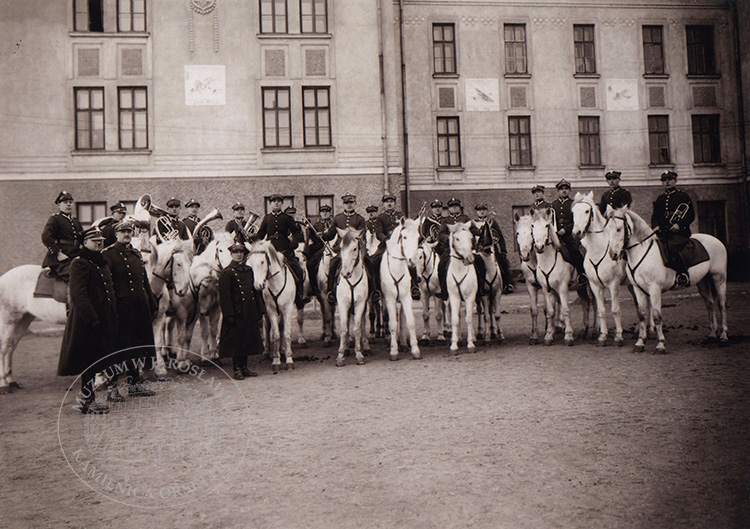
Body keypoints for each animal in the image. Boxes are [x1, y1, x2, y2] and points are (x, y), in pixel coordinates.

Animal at [247, 239, 294, 372]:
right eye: (250, 264)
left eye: (262, 262)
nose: (257, 285)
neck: (276, 283)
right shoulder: (271, 310)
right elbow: (276, 335)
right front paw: (276, 360)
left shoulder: (288, 309)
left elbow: (286, 334)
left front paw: (289, 360)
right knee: (267, 326)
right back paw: (267, 351)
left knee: (282, 326)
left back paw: (283, 349)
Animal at [334, 227, 370, 368]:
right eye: (341, 247)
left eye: (355, 249)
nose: (345, 273)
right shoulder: (343, 304)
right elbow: (344, 329)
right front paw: (340, 356)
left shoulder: (360, 304)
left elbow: (357, 328)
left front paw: (359, 354)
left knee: (363, 324)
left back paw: (365, 346)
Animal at [382, 218, 424, 358]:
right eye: (404, 237)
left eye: (418, 237)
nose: (412, 261)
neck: (397, 268)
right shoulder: (389, 298)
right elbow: (393, 324)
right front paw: (393, 351)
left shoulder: (406, 297)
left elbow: (410, 321)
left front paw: (415, 350)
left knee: (401, 316)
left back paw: (403, 343)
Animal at [528, 206, 592, 346]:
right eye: (532, 225)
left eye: (547, 225)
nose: (539, 247)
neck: (548, 261)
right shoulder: (547, 290)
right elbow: (550, 312)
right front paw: (548, 336)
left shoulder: (562, 288)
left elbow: (565, 310)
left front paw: (568, 336)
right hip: (581, 288)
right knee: (586, 303)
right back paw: (584, 331)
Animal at [612, 205, 728, 350]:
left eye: (618, 229)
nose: (613, 254)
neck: (642, 252)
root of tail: (716, 240)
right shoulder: (638, 289)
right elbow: (642, 315)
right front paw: (640, 343)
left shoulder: (654, 289)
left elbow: (657, 316)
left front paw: (660, 344)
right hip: (702, 281)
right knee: (710, 304)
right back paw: (712, 335)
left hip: (719, 279)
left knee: (721, 305)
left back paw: (723, 336)